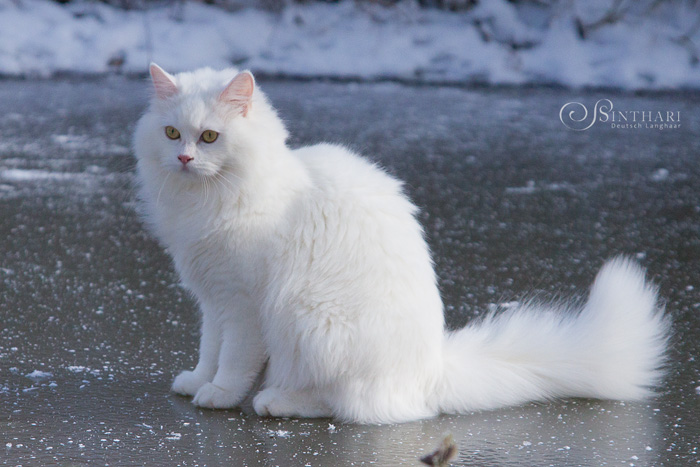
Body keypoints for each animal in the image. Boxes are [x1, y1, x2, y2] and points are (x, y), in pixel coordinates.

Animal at [134, 64, 668, 426]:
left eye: (209, 137)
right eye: (172, 133)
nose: (184, 158)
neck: (208, 202)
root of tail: (432, 371)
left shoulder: (243, 305)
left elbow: (234, 360)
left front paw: (219, 394)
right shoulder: (213, 300)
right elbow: (209, 349)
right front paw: (196, 381)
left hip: (307, 318)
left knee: (346, 404)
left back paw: (277, 401)